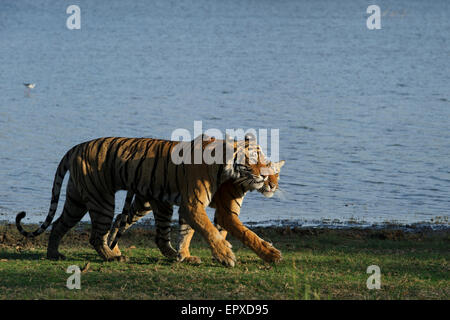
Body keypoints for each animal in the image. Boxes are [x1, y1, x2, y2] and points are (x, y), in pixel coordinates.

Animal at [108, 159, 284, 264]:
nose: (273, 186)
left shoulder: (221, 215)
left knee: (120, 218)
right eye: (266, 174)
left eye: (276, 174)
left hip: (143, 204)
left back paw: (113, 249)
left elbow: (221, 232)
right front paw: (271, 254)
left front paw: (220, 254)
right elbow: (248, 235)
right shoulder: (227, 214)